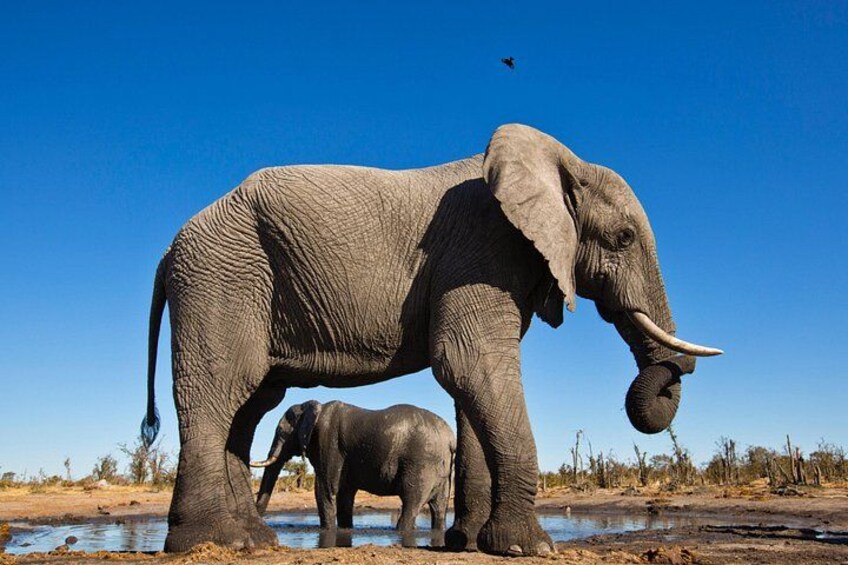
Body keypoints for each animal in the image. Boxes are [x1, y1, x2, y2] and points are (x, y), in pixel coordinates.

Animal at [249, 400, 456, 532]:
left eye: (281, 432)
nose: (263, 521)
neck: (311, 405)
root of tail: (450, 438)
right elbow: (344, 494)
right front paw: (345, 529)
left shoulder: (328, 442)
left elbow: (325, 488)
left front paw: (328, 530)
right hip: (441, 469)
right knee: (439, 507)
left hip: (421, 464)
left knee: (411, 502)